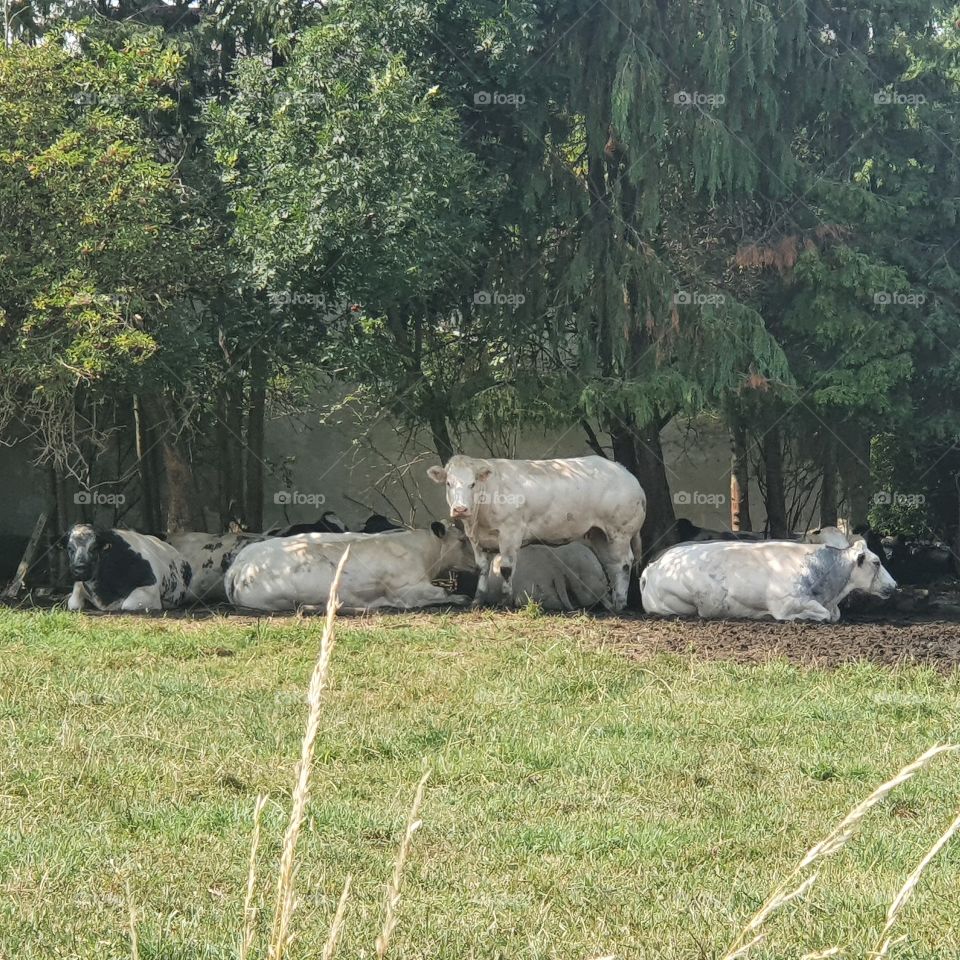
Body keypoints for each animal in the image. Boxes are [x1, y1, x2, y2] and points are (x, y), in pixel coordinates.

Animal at [63, 524, 192, 612]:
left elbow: (127, 604)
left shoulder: (150, 590)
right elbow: (74, 602)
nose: (79, 568)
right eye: (69, 548)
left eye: (94, 548)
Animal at [640, 538, 896, 622]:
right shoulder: (787, 602)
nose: (894, 586)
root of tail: (652, 568)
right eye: (877, 562)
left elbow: (835, 615)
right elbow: (823, 615)